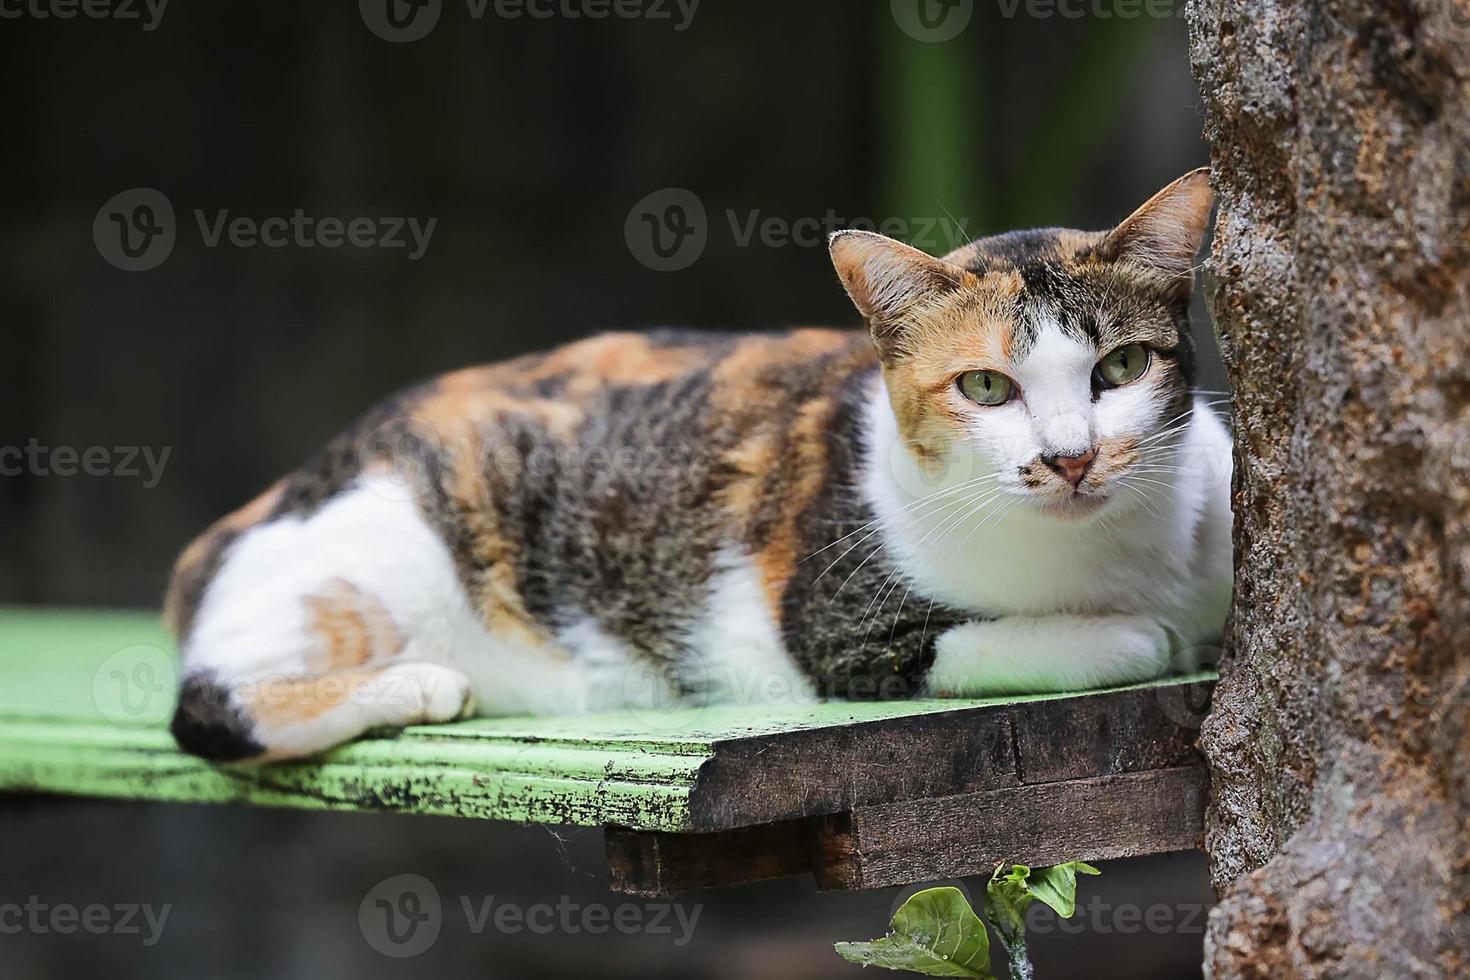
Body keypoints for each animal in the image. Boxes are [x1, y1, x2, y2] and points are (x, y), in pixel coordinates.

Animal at [169, 168, 1228, 764]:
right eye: (985, 386)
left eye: (1119, 369)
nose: (1071, 456)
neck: (1112, 553)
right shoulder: (843, 633)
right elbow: (1089, 642)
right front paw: (1146, 636)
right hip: (371, 564)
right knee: (204, 703)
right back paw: (415, 686)